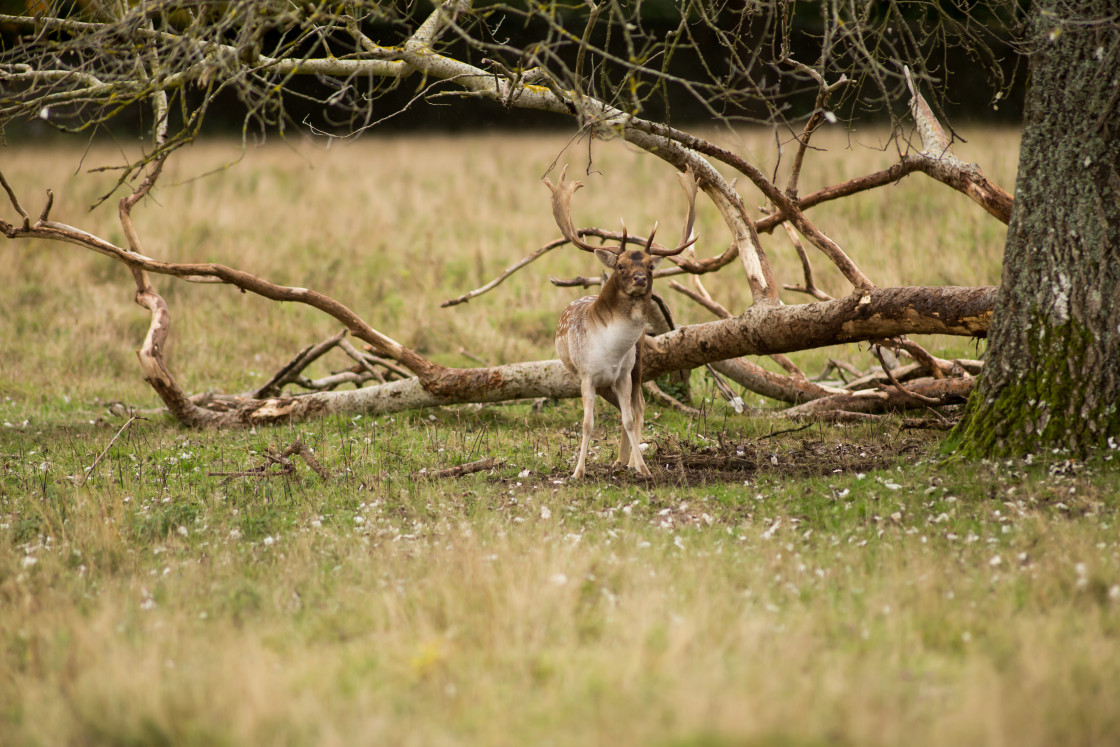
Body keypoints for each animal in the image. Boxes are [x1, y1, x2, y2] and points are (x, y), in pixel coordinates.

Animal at [544, 164, 694, 479]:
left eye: (650, 266)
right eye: (621, 265)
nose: (640, 279)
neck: (610, 351)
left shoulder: (624, 374)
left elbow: (627, 417)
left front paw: (643, 468)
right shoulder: (587, 375)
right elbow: (588, 423)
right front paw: (577, 472)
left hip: (637, 366)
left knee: (638, 407)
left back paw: (629, 461)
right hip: (597, 379)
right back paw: (620, 460)